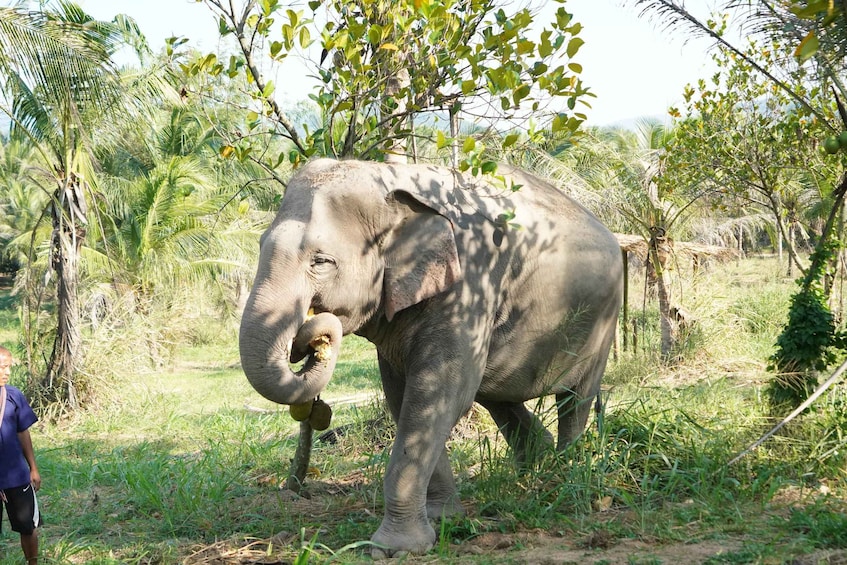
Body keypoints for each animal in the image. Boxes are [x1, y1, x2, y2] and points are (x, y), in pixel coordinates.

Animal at [239, 158, 623, 556]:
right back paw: (538, 468)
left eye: (322, 261)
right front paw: (443, 518)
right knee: (497, 395)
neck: (389, 177)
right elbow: (406, 396)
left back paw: (563, 478)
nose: (310, 338)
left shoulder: (471, 282)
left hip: (603, 318)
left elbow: (436, 393)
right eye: (261, 244)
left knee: (574, 401)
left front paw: (395, 549)